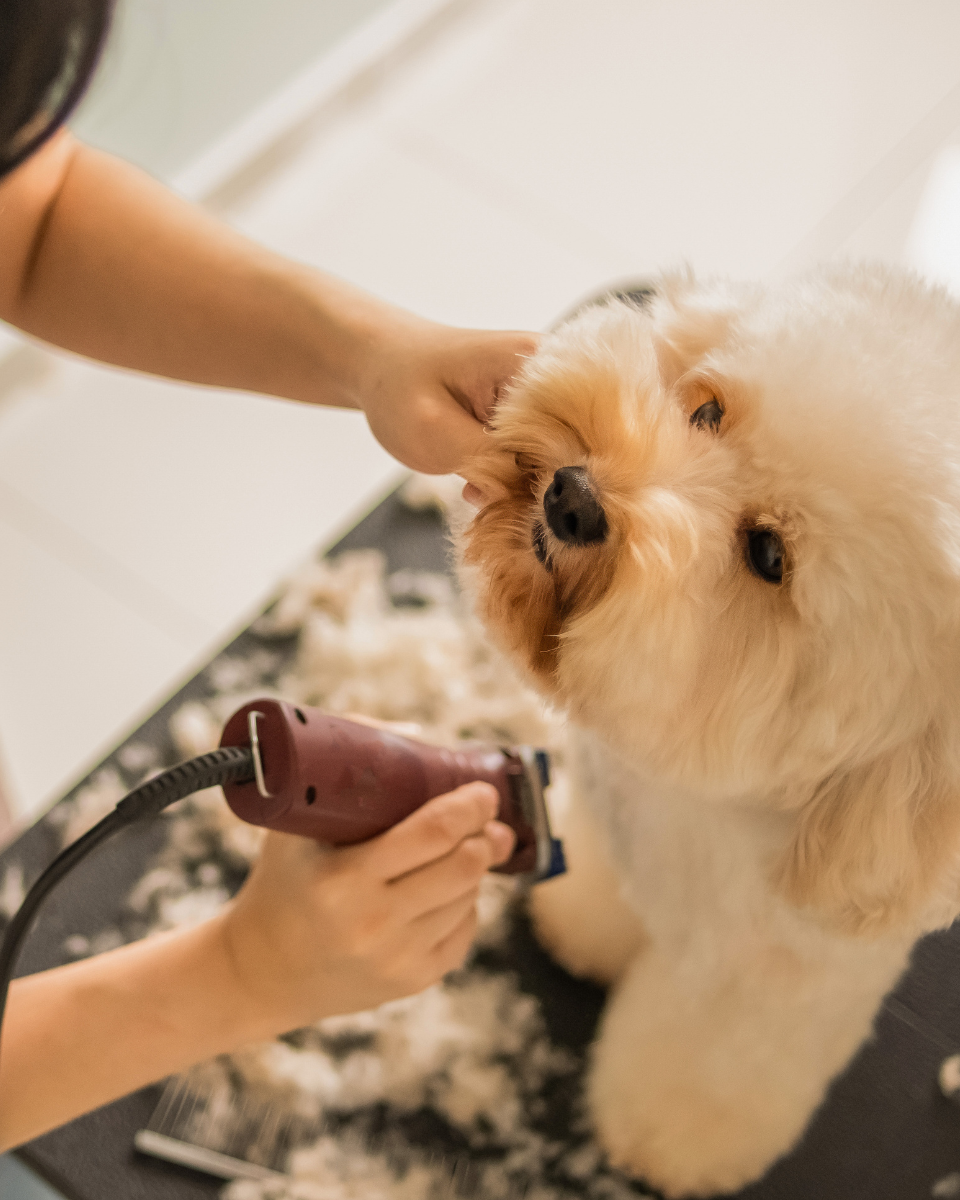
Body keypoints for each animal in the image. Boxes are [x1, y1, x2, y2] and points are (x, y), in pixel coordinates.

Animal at [456, 265, 960, 1200]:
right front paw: (582, 929)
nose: (573, 497)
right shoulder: (626, 825)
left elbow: (709, 1069)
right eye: (709, 410)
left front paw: (666, 1140)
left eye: (768, 556)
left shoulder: (775, 985)